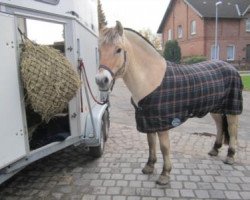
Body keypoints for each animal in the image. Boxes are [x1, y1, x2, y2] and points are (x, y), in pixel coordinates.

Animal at [94, 21, 243, 185]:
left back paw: (230, 156)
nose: (101, 80)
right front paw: (149, 166)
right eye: (99, 50)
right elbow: (151, 143)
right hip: (215, 108)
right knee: (219, 126)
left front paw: (165, 174)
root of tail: (231, 67)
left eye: (119, 50)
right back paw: (215, 149)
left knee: (232, 129)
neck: (151, 80)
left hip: (231, 108)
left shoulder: (162, 122)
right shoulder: (148, 119)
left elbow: (164, 147)